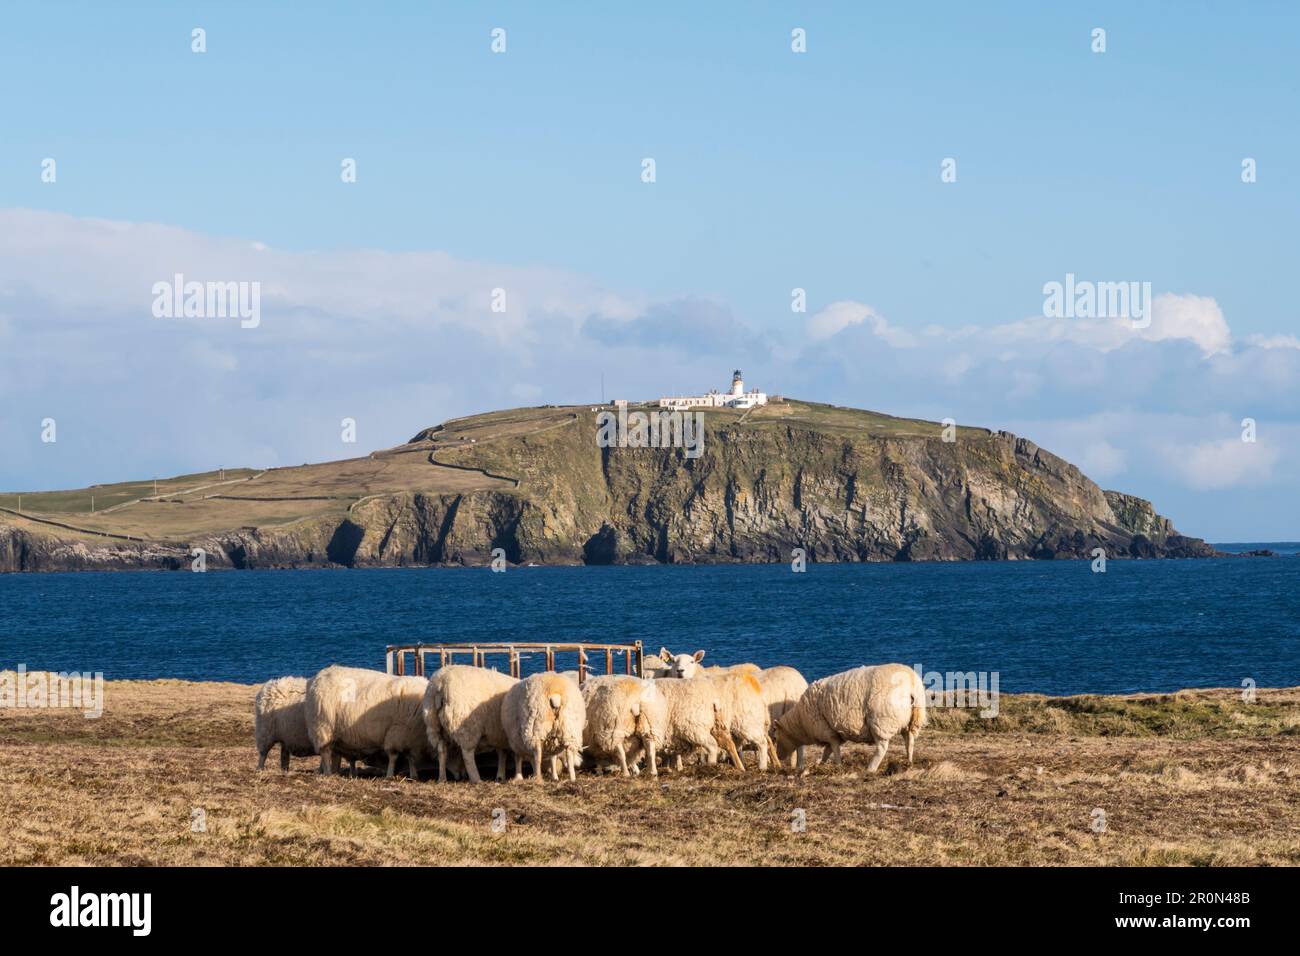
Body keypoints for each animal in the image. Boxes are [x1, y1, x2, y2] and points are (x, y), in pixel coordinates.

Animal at [769, 665, 925, 780]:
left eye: (776, 737)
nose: (779, 757)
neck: (800, 722)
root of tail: (912, 684)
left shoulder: (827, 731)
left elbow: (834, 750)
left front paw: (838, 766)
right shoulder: (833, 732)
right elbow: (827, 751)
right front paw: (821, 763)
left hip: (882, 721)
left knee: (882, 747)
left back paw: (871, 768)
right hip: (910, 720)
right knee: (909, 740)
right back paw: (909, 761)